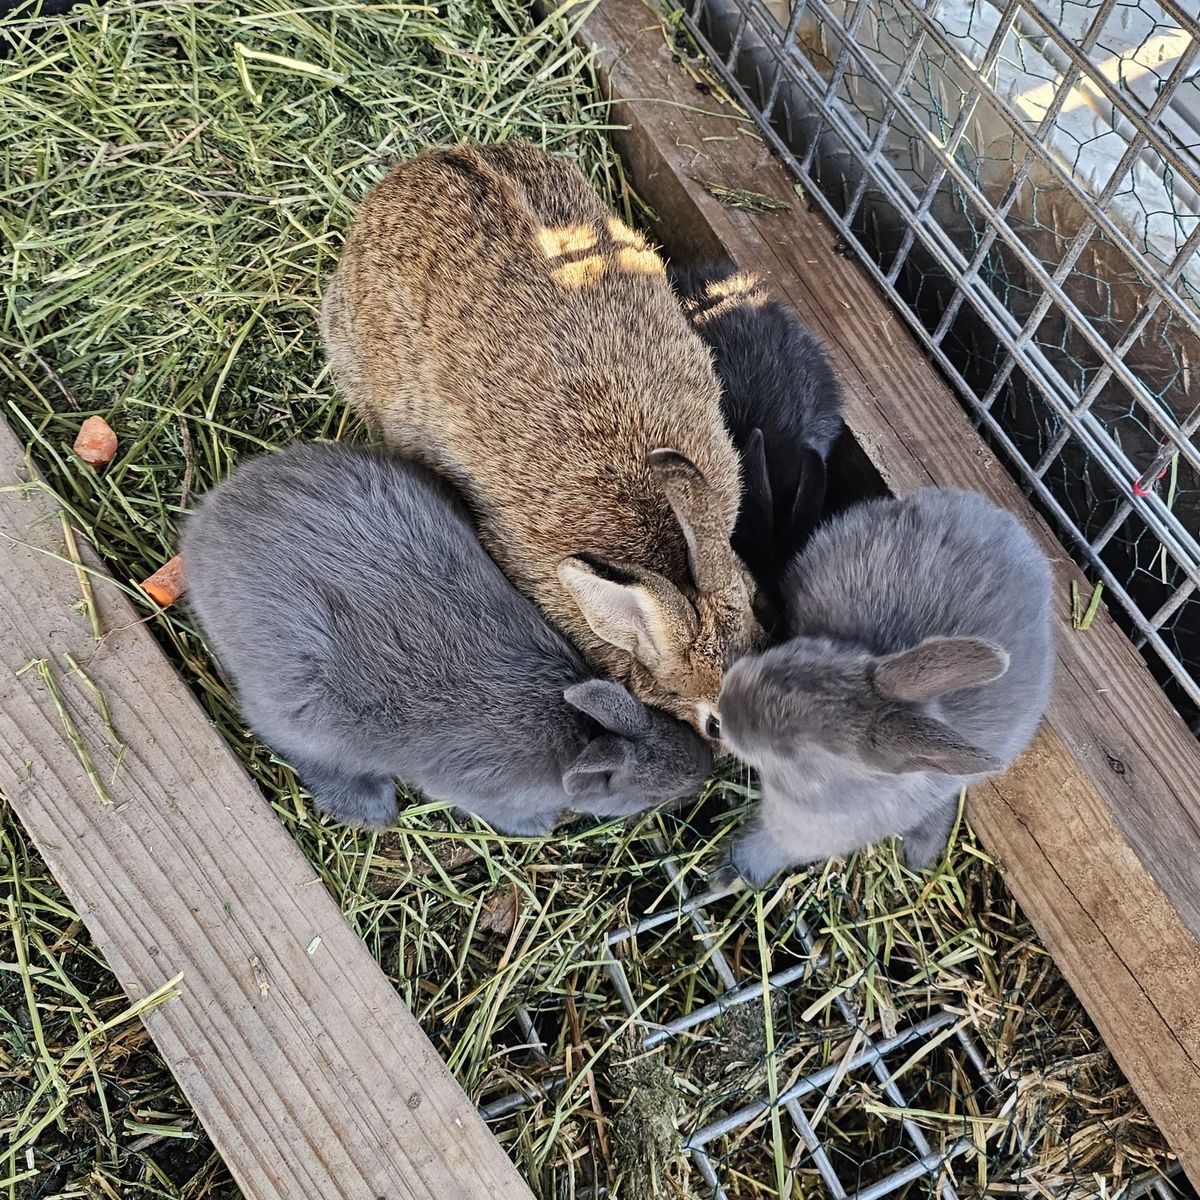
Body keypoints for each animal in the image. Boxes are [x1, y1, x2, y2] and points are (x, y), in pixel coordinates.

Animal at [181, 443, 713, 835]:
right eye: (649, 794)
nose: (703, 772)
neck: (576, 736)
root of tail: (202, 529)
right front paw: (539, 826)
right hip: (299, 713)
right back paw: (370, 811)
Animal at [717, 488, 1054, 886]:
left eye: (792, 752)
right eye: (799, 654)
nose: (724, 700)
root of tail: (1012, 525)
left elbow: (773, 848)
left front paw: (729, 871)